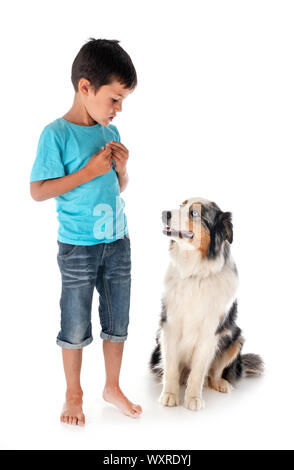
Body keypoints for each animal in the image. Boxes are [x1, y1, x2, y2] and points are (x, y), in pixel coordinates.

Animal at [150, 196, 262, 410]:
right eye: (181, 204)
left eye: (195, 213)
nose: (163, 213)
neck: (195, 273)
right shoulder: (169, 325)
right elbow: (171, 367)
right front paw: (170, 394)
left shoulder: (210, 332)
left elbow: (199, 370)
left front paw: (193, 398)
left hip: (235, 339)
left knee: (212, 375)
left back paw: (221, 383)